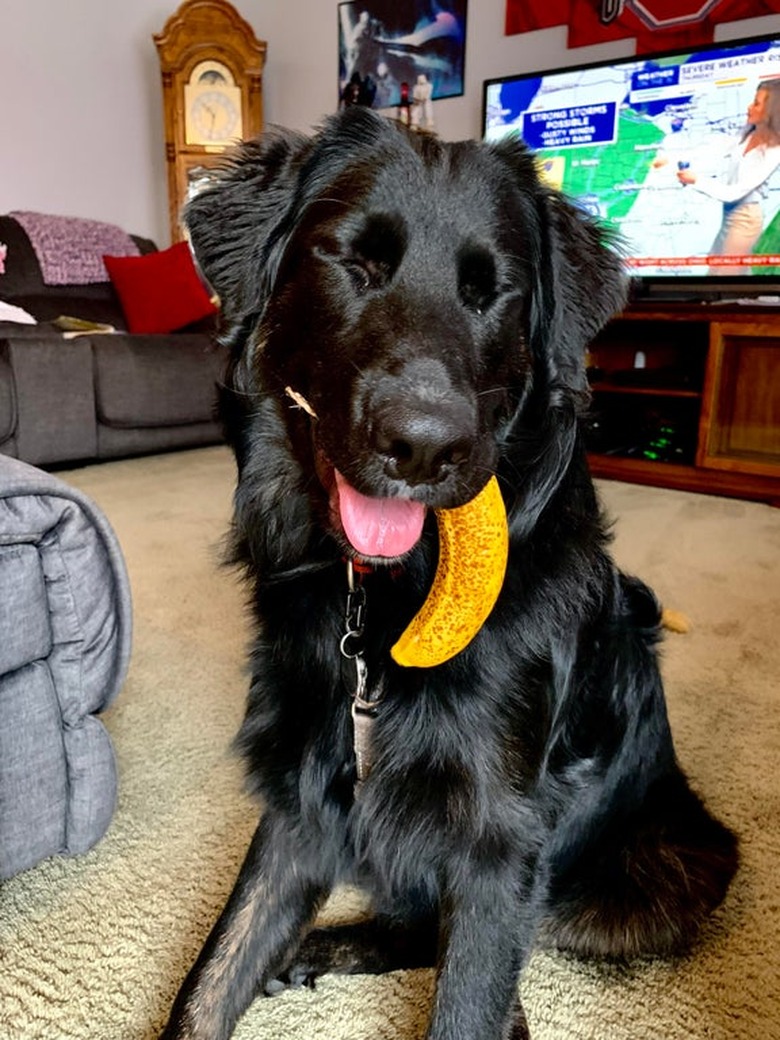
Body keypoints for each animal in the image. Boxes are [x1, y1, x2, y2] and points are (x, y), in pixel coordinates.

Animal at [163, 107, 740, 1040]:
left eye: (491, 292)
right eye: (353, 264)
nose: (425, 447)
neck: (380, 603)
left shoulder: (501, 842)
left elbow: (469, 996)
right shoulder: (302, 795)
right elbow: (212, 976)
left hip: (663, 872)